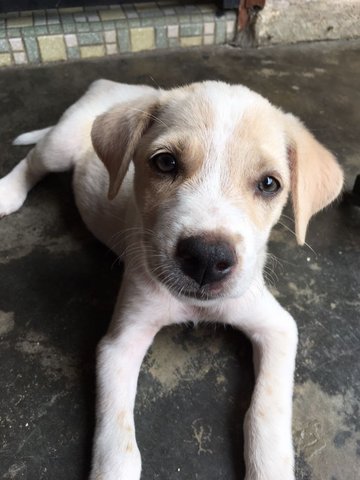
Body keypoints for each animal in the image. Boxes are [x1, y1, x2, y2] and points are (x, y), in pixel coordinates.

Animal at [0, 80, 344, 478]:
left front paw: (271, 467)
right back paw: (6, 193)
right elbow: (119, 445)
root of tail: (117, 85)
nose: (206, 259)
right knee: (34, 160)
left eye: (269, 184)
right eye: (165, 163)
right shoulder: (121, 343)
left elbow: (265, 410)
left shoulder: (277, 327)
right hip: (63, 141)